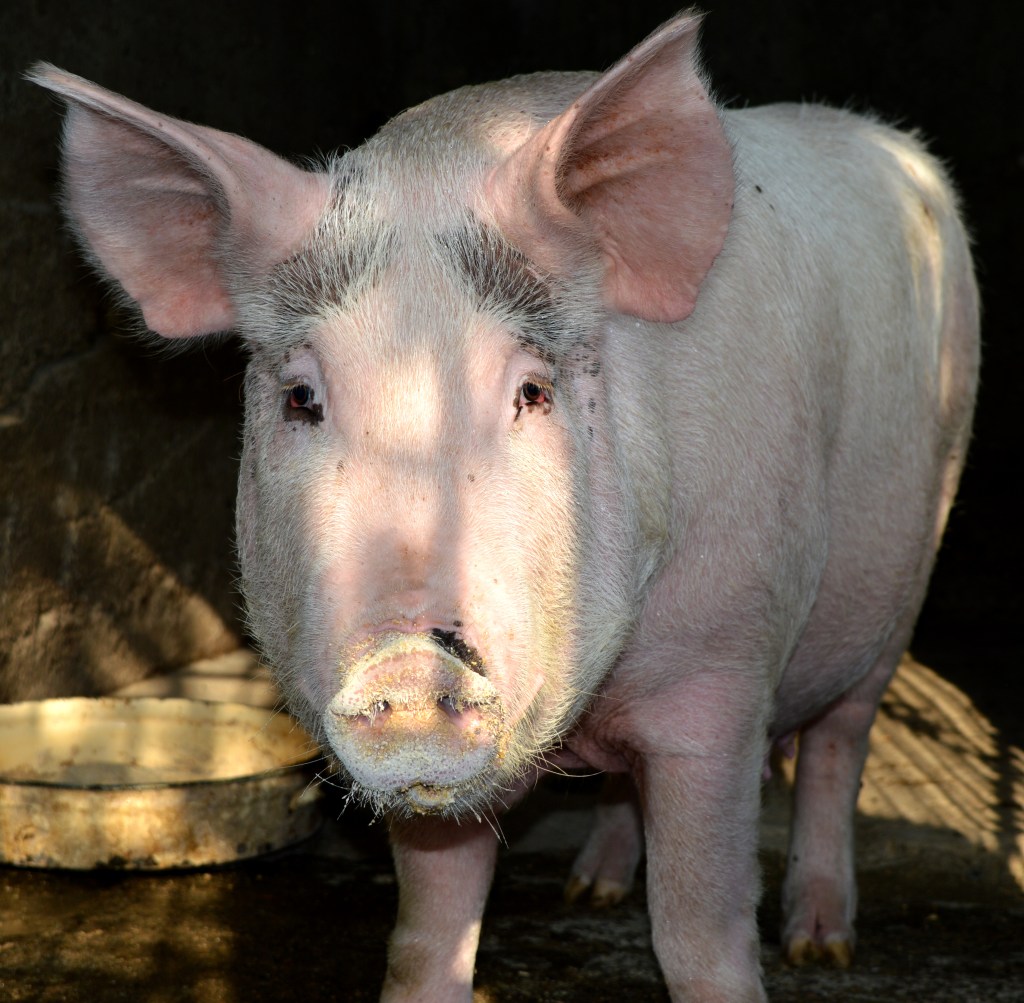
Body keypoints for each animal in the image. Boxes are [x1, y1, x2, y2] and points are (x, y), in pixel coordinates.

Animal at [29, 9, 978, 1002]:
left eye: (531, 391)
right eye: (299, 397)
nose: (407, 664)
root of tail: (893, 146)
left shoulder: (724, 671)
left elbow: (698, 930)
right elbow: (427, 932)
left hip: (901, 582)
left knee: (840, 746)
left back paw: (821, 944)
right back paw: (591, 890)